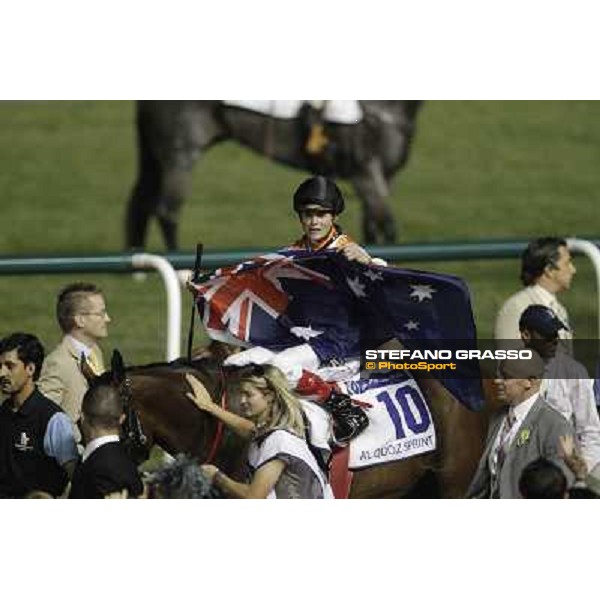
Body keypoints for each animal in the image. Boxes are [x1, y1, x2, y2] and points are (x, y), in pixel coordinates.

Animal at [125, 99, 424, 250]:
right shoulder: (365, 174)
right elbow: (388, 228)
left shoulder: (384, 178)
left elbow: (374, 230)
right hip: (182, 156)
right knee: (167, 211)